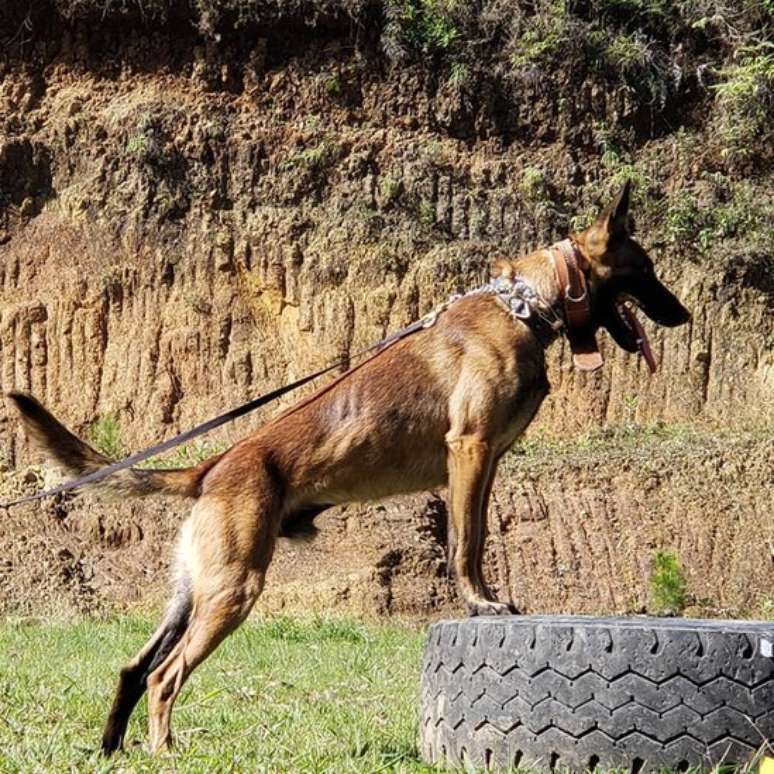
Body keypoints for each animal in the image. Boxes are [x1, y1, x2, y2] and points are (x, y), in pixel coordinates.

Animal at [9, 180, 692, 752]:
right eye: (646, 271)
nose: (683, 316)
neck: (523, 306)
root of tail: (214, 466)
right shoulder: (468, 450)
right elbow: (467, 541)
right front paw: (479, 603)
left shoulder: (486, 464)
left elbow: (474, 537)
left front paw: (486, 597)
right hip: (233, 587)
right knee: (163, 676)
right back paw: (164, 751)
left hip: (193, 590)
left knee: (135, 666)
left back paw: (112, 748)